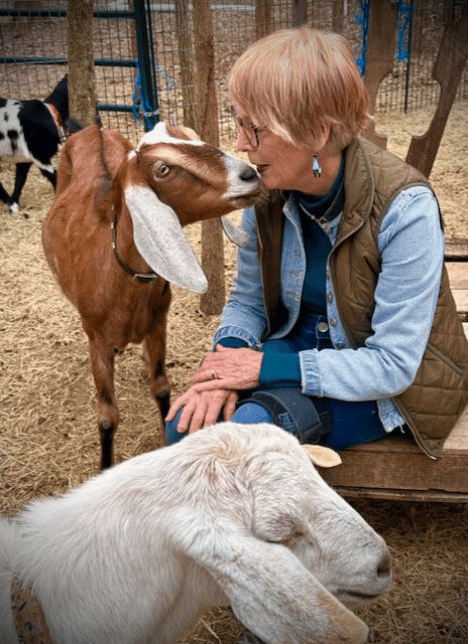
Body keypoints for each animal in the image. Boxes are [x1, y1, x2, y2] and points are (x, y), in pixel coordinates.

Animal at [42, 122, 261, 469]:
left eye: (194, 137)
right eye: (163, 169)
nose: (249, 175)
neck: (119, 278)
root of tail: (93, 128)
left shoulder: (158, 324)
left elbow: (161, 388)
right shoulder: (96, 338)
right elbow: (107, 416)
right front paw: (104, 467)